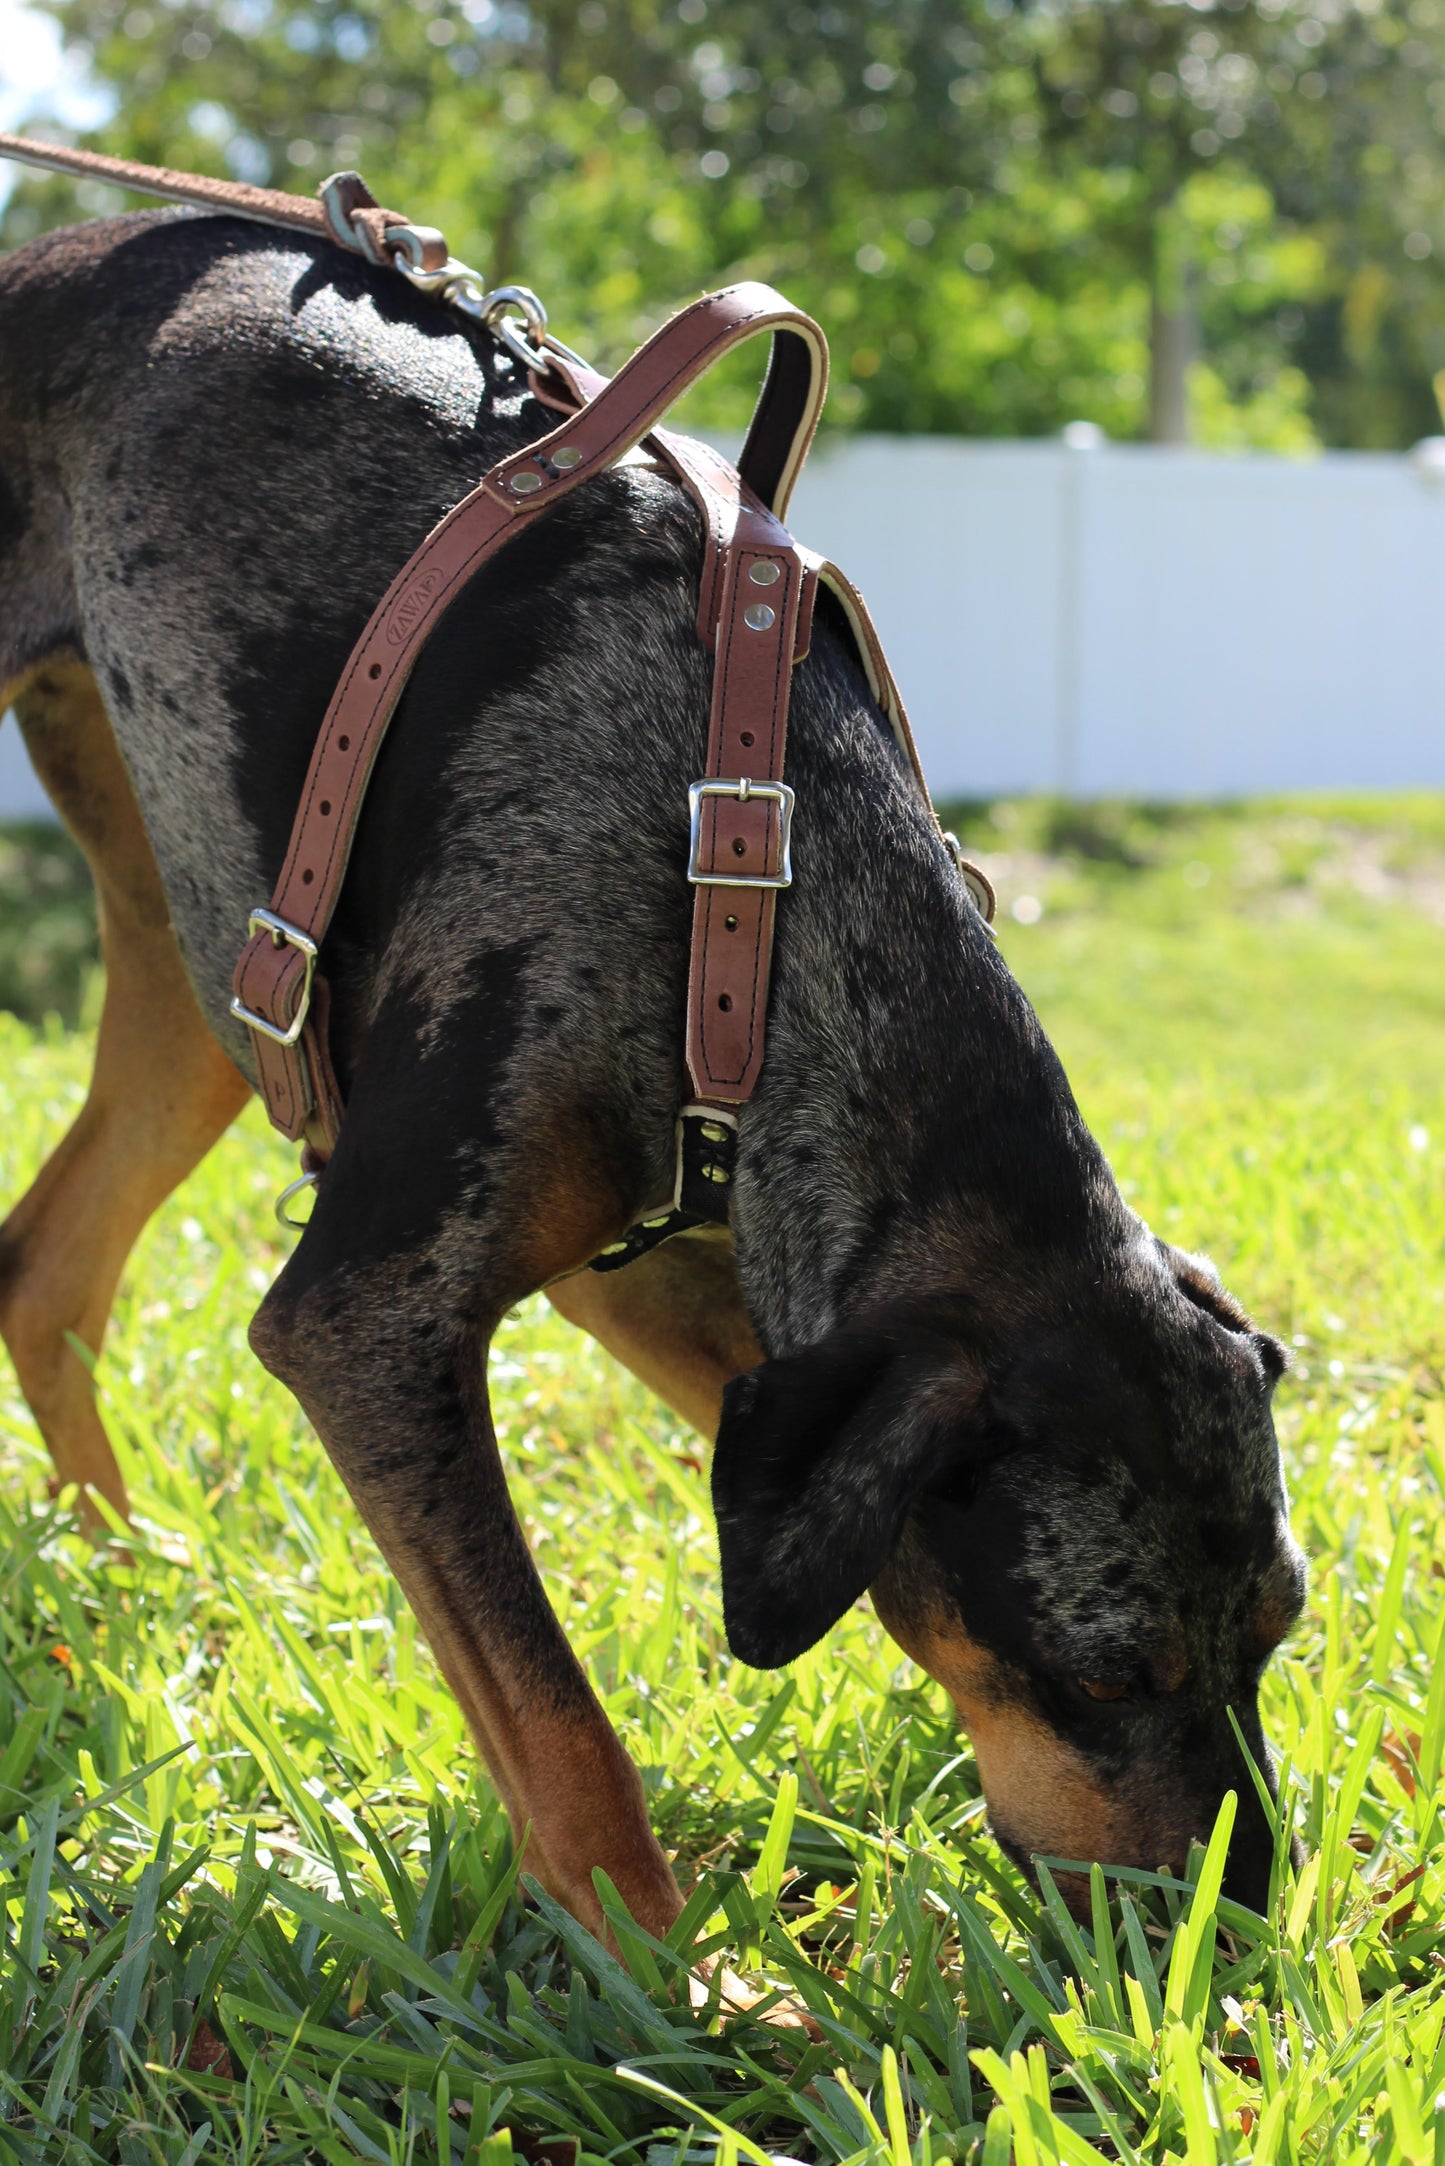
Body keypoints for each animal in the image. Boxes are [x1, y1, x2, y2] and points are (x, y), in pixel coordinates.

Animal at [0, 203, 1308, 1940]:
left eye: (1277, 1629)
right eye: (1102, 1672)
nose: (1240, 1944)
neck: (744, 874)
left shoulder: (674, 1263)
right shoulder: (369, 1322)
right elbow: (562, 1732)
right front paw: (669, 1980)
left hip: (207, 955)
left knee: (47, 1267)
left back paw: (126, 1590)